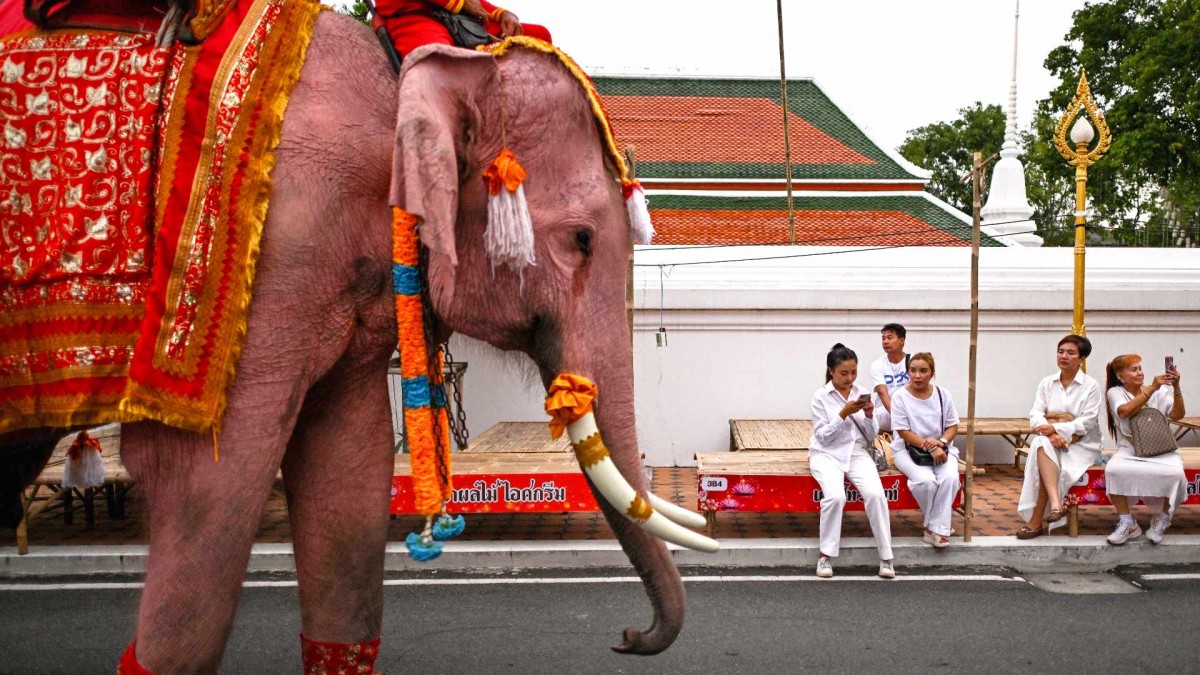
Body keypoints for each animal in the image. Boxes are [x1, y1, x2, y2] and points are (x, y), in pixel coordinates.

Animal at [0, 9, 700, 667]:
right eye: (582, 240)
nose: (627, 636)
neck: (404, 69)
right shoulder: (270, 253)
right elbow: (205, 483)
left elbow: (348, 474)